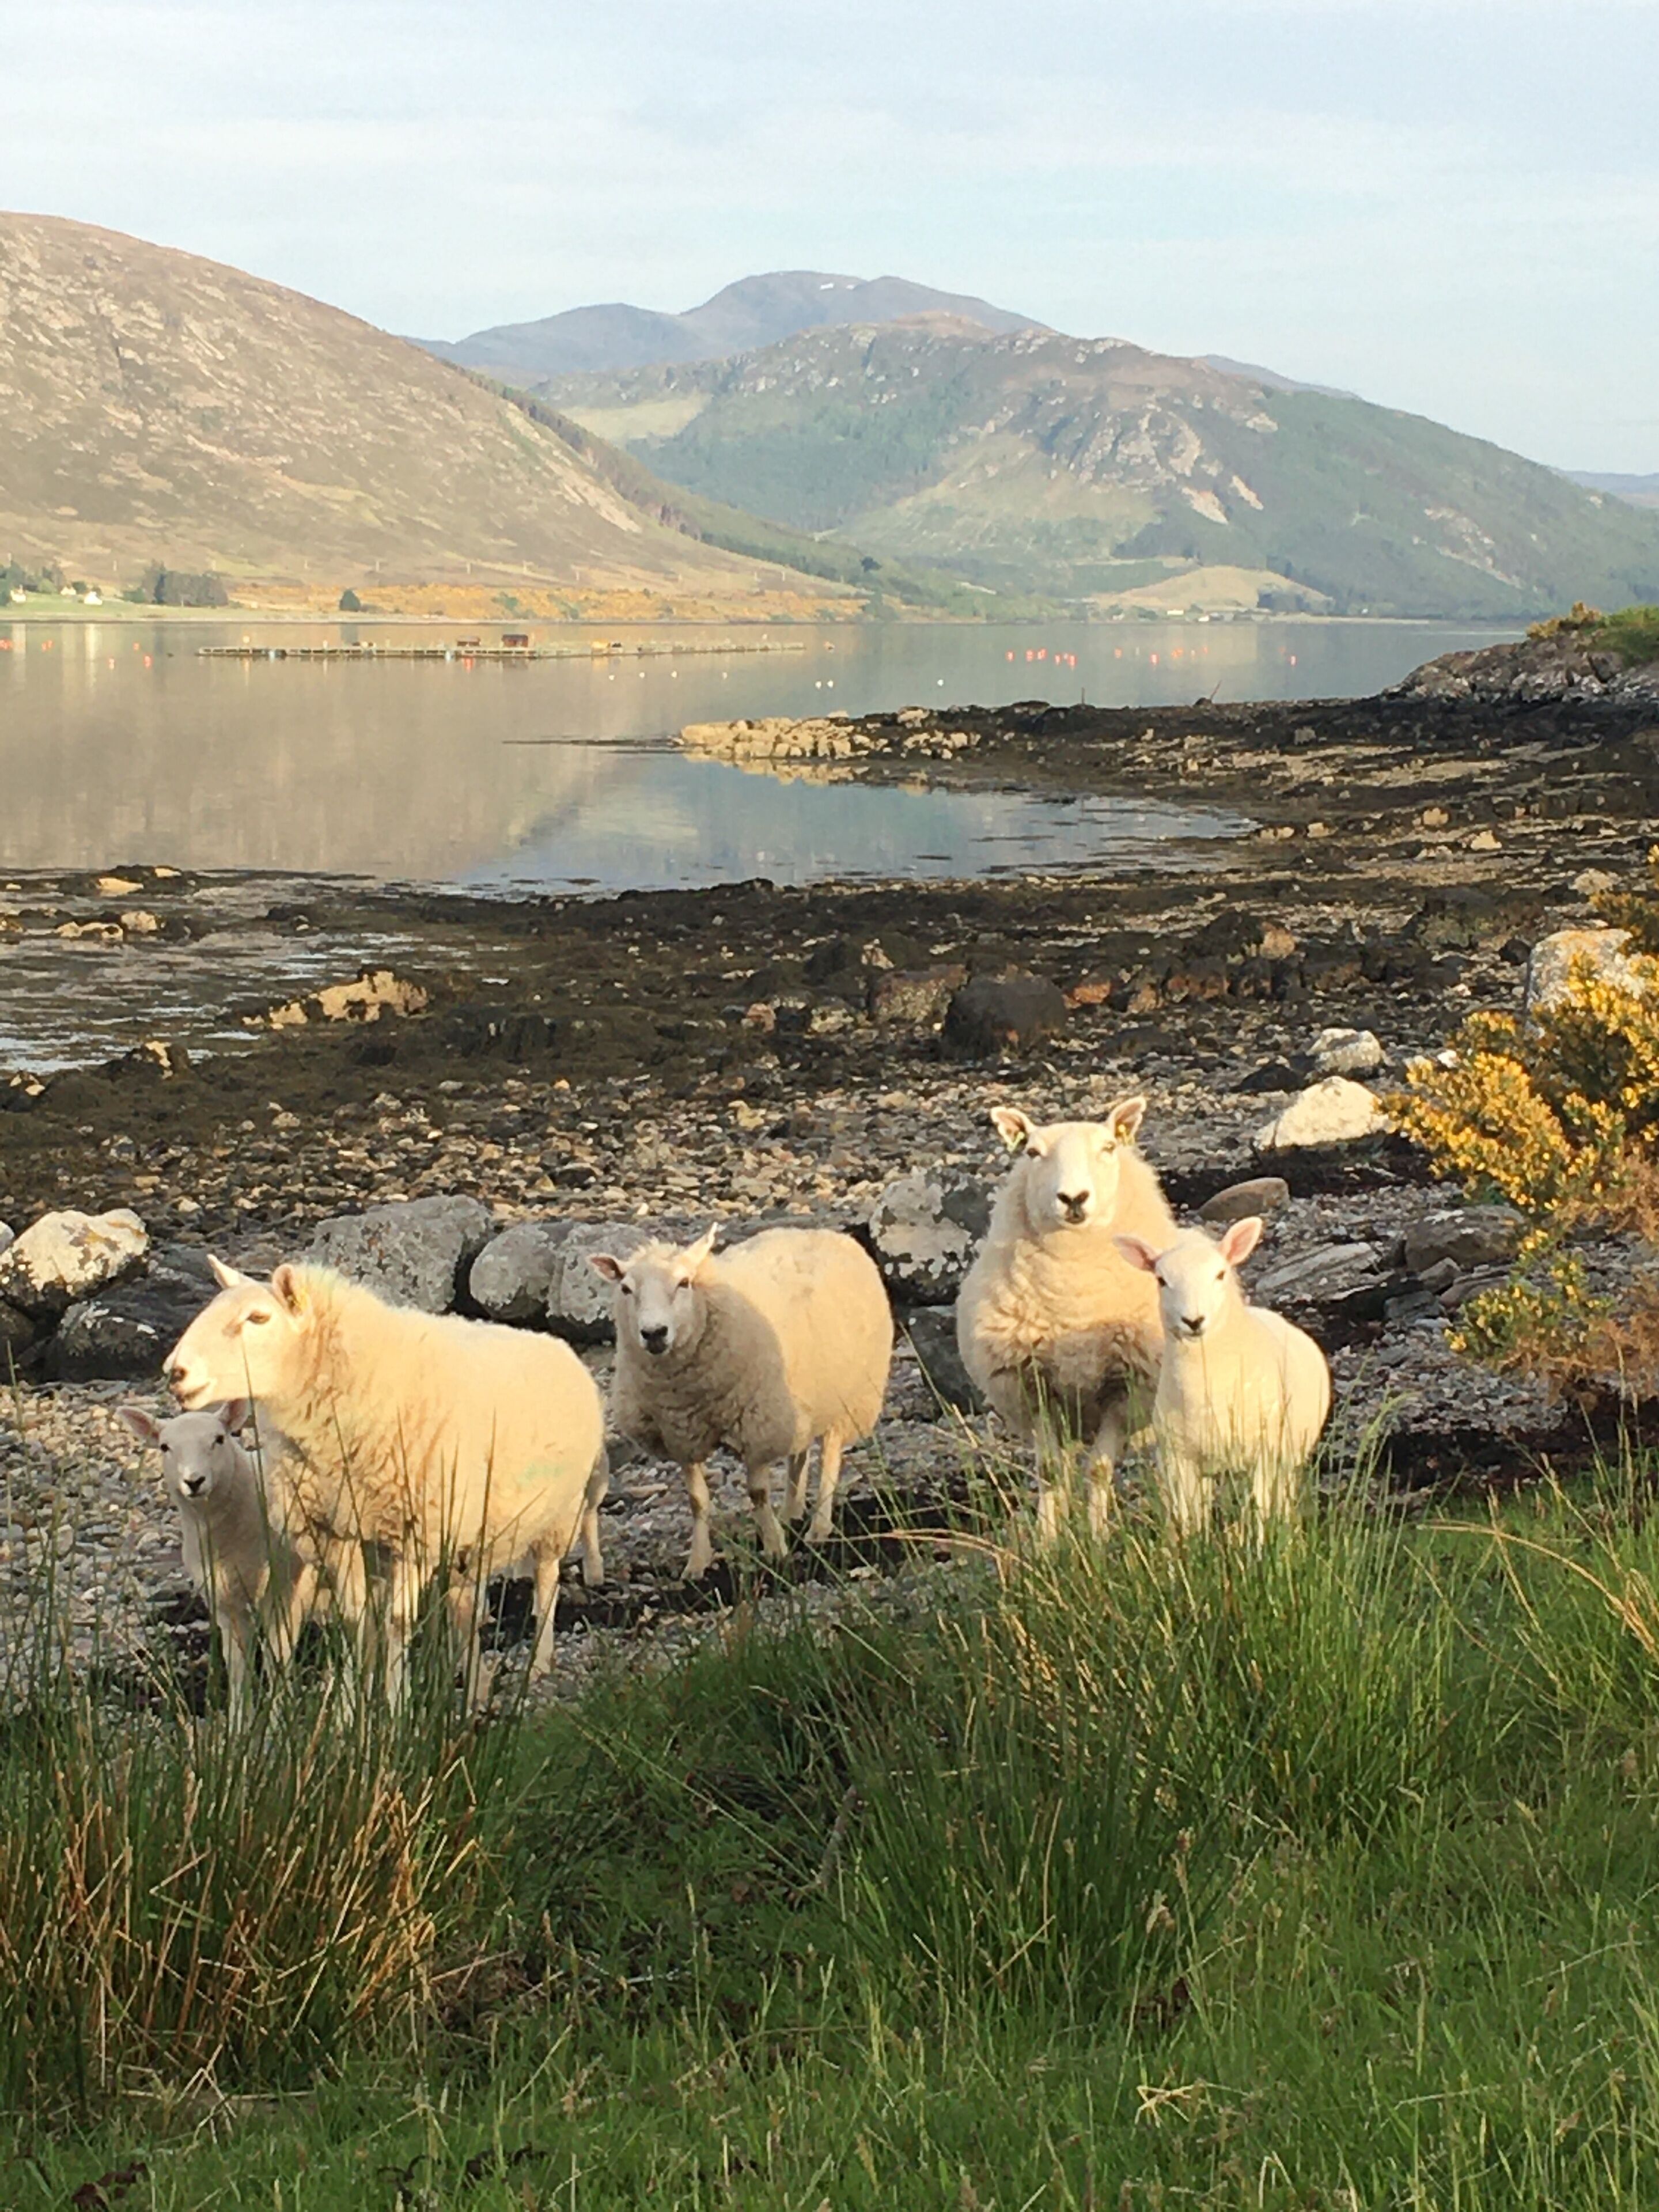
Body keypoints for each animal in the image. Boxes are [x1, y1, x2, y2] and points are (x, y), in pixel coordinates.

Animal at [118, 1399, 321, 1719]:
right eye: (164, 1447)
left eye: (219, 1439)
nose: (194, 1481)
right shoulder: (226, 1603)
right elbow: (237, 1668)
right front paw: (238, 1724)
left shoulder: (286, 1591)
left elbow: (278, 1660)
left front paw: (279, 1720)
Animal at [165, 1260, 609, 1706]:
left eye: (258, 1318)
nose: (175, 1372)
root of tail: (555, 1342)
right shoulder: (337, 1532)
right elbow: (355, 1621)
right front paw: (352, 1707)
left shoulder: (416, 1534)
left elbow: (397, 1623)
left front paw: (396, 1705)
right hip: (472, 1535)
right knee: (466, 1609)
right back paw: (470, 1686)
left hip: (559, 1512)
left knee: (547, 1580)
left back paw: (539, 1661)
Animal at [590, 1225, 893, 1579]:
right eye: (625, 1288)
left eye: (684, 1282)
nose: (654, 1333)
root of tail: (818, 1231)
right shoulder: (681, 1434)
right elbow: (697, 1500)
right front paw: (698, 1563)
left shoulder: (757, 1423)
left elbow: (758, 1493)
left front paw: (775, 1549)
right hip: (801, 1400)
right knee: (799, 1455)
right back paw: (792, 1512)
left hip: (847, 1396)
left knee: (830, 1458)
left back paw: (819, 1527)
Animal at [954, 1098, 1177, 1539]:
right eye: (1032, 1152)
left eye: (1108, 1147)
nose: (1073, 1198)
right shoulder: (1035, 1387)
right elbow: (1051, 1472)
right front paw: (1049, 1541)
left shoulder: (1122, 1390)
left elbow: (1099, 1470)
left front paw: (1097, 1539)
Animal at [1114, 1217, 1332, 1534]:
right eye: (1161, 1280)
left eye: (1220, 1274)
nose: (1193, 1321)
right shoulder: (1179, 1458)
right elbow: (1188, 1521)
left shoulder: (1266, 1455)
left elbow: (1261, 1515)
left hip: (1287, 1458)